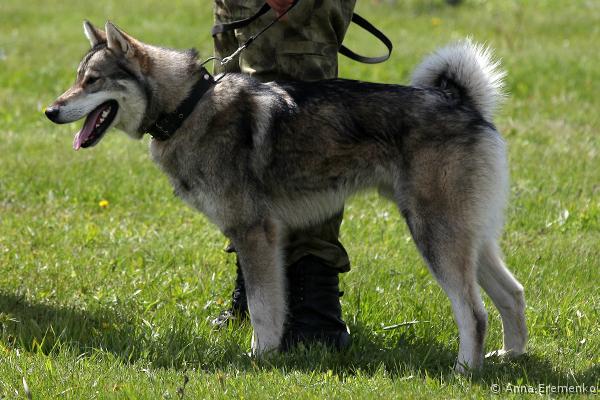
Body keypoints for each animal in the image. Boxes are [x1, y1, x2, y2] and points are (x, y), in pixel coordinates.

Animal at [45, 21, 527, 372]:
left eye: (93, 81)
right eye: (77, 79)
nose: (50, 110)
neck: (189, 107)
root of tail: (465, 104)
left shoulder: (255, 233)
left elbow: (263, 308)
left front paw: (258, 359)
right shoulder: (264, 239)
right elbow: (271, 304)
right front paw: (270, 353)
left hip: (435, 236)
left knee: (474, 313)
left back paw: (464, 371)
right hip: (469, 239)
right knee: (512, 294)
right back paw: (511, 357)